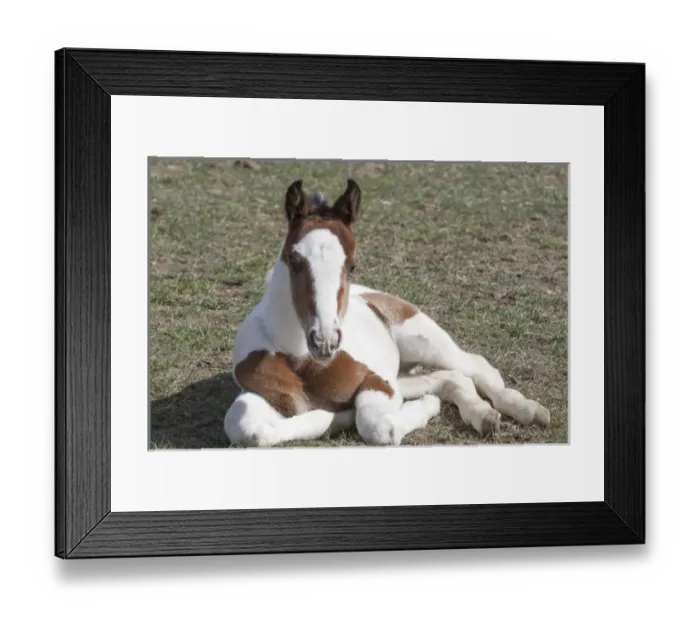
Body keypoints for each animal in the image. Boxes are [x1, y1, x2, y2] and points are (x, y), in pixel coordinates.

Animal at [223, 178, 550, 448]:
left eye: (351, 265)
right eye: (294, 260)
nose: (325, 341)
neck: (303, 361)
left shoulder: (378, 381)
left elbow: (378, 425)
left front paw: (424, 407)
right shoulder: (263, 395)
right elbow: (245, 427)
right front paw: (334, 418)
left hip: (424, 341)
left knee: (476, 367)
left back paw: (528, 410)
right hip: (403, 371)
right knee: (452, 378)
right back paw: (483, 415)